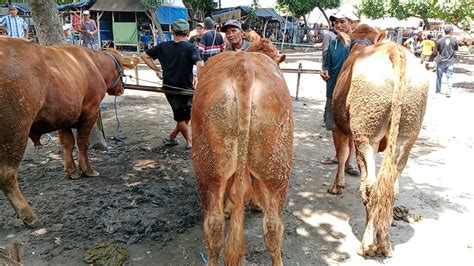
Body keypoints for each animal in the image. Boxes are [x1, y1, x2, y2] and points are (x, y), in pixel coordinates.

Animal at [1, 38, 139, 224]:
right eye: (122, 69)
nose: (122, 89)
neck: (94, 63)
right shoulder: (90, 111)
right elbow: (82, 142)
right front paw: (87, 170)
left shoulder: (63, 116)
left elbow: (67, 143)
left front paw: (71, 171)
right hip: (15, 131)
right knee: (7, 173)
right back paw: (28, 214)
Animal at [330, 25, 430, 258]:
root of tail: (395, 50)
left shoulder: (340, 127)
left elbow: (342, 153)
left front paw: (337, 185)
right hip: (407, 133)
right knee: (390, 186)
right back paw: (384, 241)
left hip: (366, 131)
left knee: (370, 185)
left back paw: (368, 244)